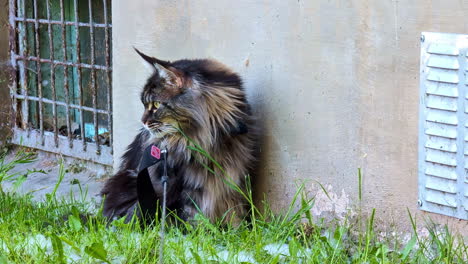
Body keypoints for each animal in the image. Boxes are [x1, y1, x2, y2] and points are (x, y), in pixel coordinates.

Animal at [99, 49, 258, 223]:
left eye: (156, 105)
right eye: (144, 105)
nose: (142, 121)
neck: (206, 141)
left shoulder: (231, 181)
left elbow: (234, 214)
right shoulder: (176, 185)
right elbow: (190, 218)